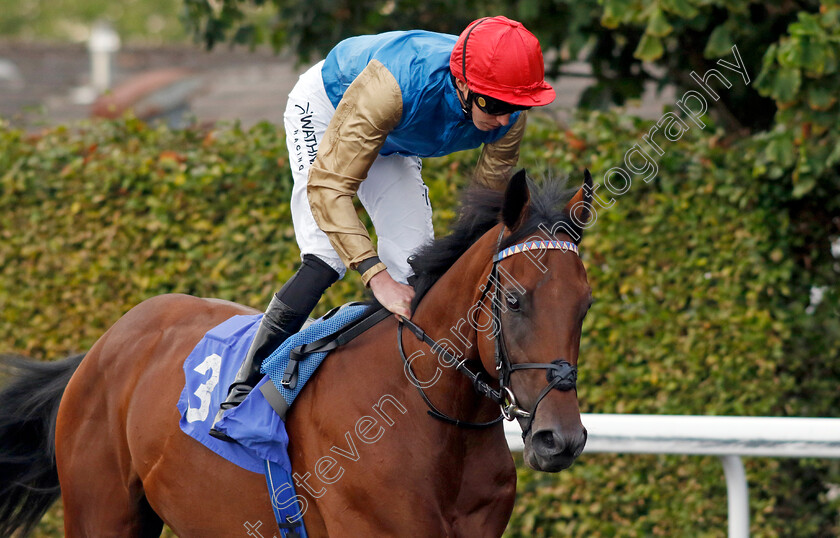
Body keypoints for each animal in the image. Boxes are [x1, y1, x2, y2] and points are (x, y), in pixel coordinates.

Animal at [0, 170, 592, 532]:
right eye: (513, 300)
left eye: (585, 305)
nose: (558, 439)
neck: (428, 413)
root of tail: (105, 343)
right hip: (102, 513)